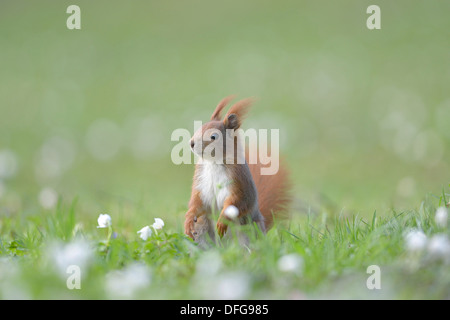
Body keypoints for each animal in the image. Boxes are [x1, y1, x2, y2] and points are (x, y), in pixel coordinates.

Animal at [184, 95, 292, 245]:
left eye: (214, 136)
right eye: (199, 128)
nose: (192, 143)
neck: (213, 162)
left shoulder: (239, 180)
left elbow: (239, 202)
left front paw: (222, 222)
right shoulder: (200, 181)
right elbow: (197, 203)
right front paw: (188, 220)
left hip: (249, 233)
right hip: (202, 231)